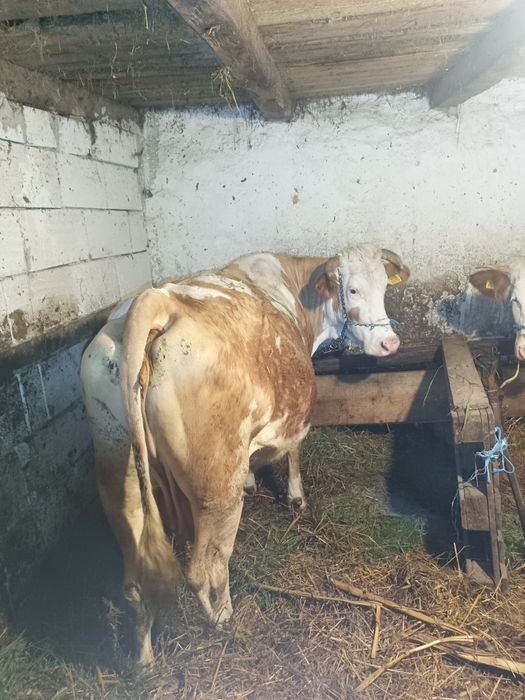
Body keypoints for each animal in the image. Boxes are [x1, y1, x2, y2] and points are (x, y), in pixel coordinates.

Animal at [80, 244, 410, 665]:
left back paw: (144, 660)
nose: (389, 344)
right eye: (352, 289)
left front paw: (255, 481)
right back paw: (223, 619)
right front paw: (296, 498)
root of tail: (155, 300)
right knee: (206, 568)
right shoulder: (292, 422)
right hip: (216, 487)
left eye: (385, 286)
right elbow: (293, 452)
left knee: (135, 584)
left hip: (118, 476)